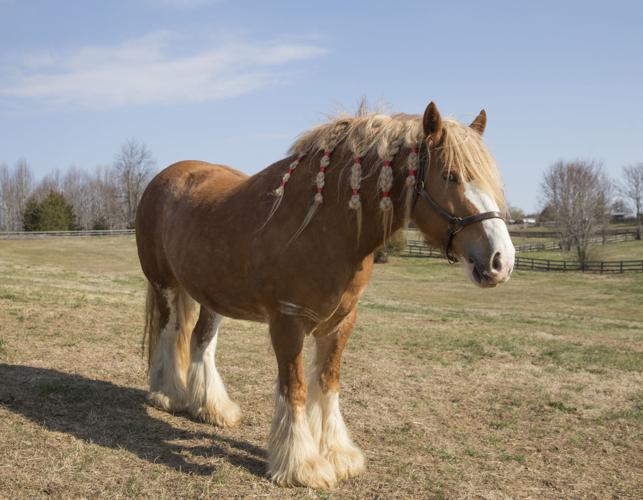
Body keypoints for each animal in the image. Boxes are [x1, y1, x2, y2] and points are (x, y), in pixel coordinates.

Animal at [135, 101, 515, 489]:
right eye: (451, 175)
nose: (501, 261)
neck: (322, 225)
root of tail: (166, 177)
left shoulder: (341, 322)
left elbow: (328, 382)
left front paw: (337, 454)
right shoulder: (287, 322)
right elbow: (296, 387)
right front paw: (302, 465)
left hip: (213, 295)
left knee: (201, 341)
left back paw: (212, 408)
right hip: (165, 285)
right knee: (169, 332)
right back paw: (168, 394)